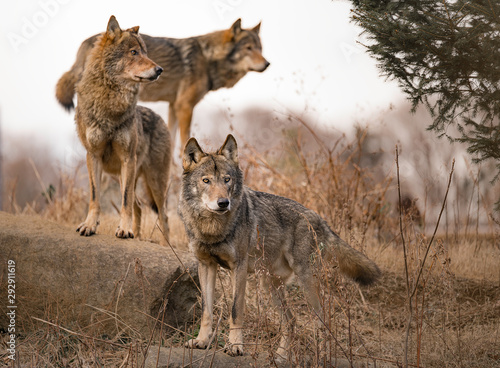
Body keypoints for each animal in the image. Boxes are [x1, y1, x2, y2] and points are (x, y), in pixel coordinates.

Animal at [55, 19, 270, 150]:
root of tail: (85, 44)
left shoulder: (174, 105)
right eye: (248, 48)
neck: (208, 58)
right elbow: (184, 141)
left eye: (260, 48)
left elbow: (172, 140)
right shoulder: (185, 106)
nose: (267, 64)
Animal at [75, 15, 171, 244]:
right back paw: (137, 236)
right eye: (134, 52)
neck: (111, 101)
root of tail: (160, 119)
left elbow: (125, 201)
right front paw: (89, 225)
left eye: (145, 52)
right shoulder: (93, 155)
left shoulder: (128, 158)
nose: (160, 69)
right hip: (120, 176)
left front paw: (124, 230)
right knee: (140, 206)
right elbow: (95, 197)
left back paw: (165, 245)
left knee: (163, 216)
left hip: (154, 182)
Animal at [178, 134, 380, 358]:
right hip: (270, 285)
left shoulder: (238, 267)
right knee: (291, 321)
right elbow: (206, 310)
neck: (212, 228)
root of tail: (319, 218)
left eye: (226, 180)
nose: (223, 202)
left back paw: (322, 355)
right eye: (206, 181)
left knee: (322, 318)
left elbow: (235, 310)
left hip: (305, 280)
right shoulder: (206, 265)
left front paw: (235, 346)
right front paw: (201, 341)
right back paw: (282, 357)